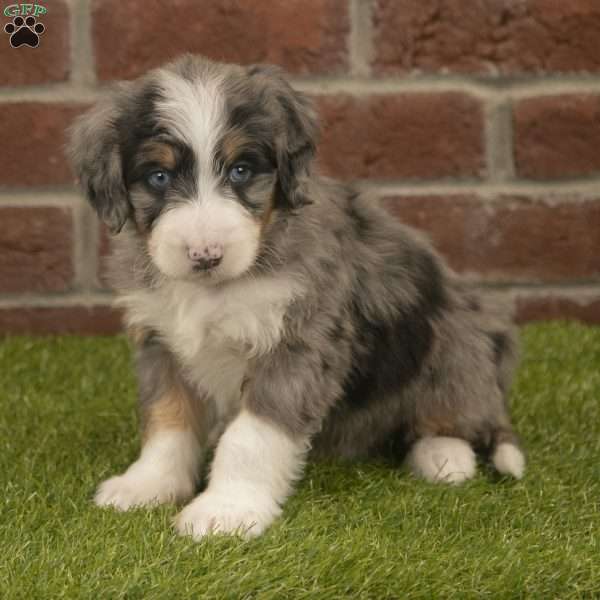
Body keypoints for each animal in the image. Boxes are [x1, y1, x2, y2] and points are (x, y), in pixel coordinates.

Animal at [67, 55, 524, 540]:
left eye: (241, 170)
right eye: (158, 176)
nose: (205, 255)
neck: (215, 289)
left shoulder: (298, 343)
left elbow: (251, 436)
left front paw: (225, 510)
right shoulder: (160, 343)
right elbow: (167, 421)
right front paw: (147, 485)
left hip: (455, 345)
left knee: (455, 418)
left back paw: (445, 458)